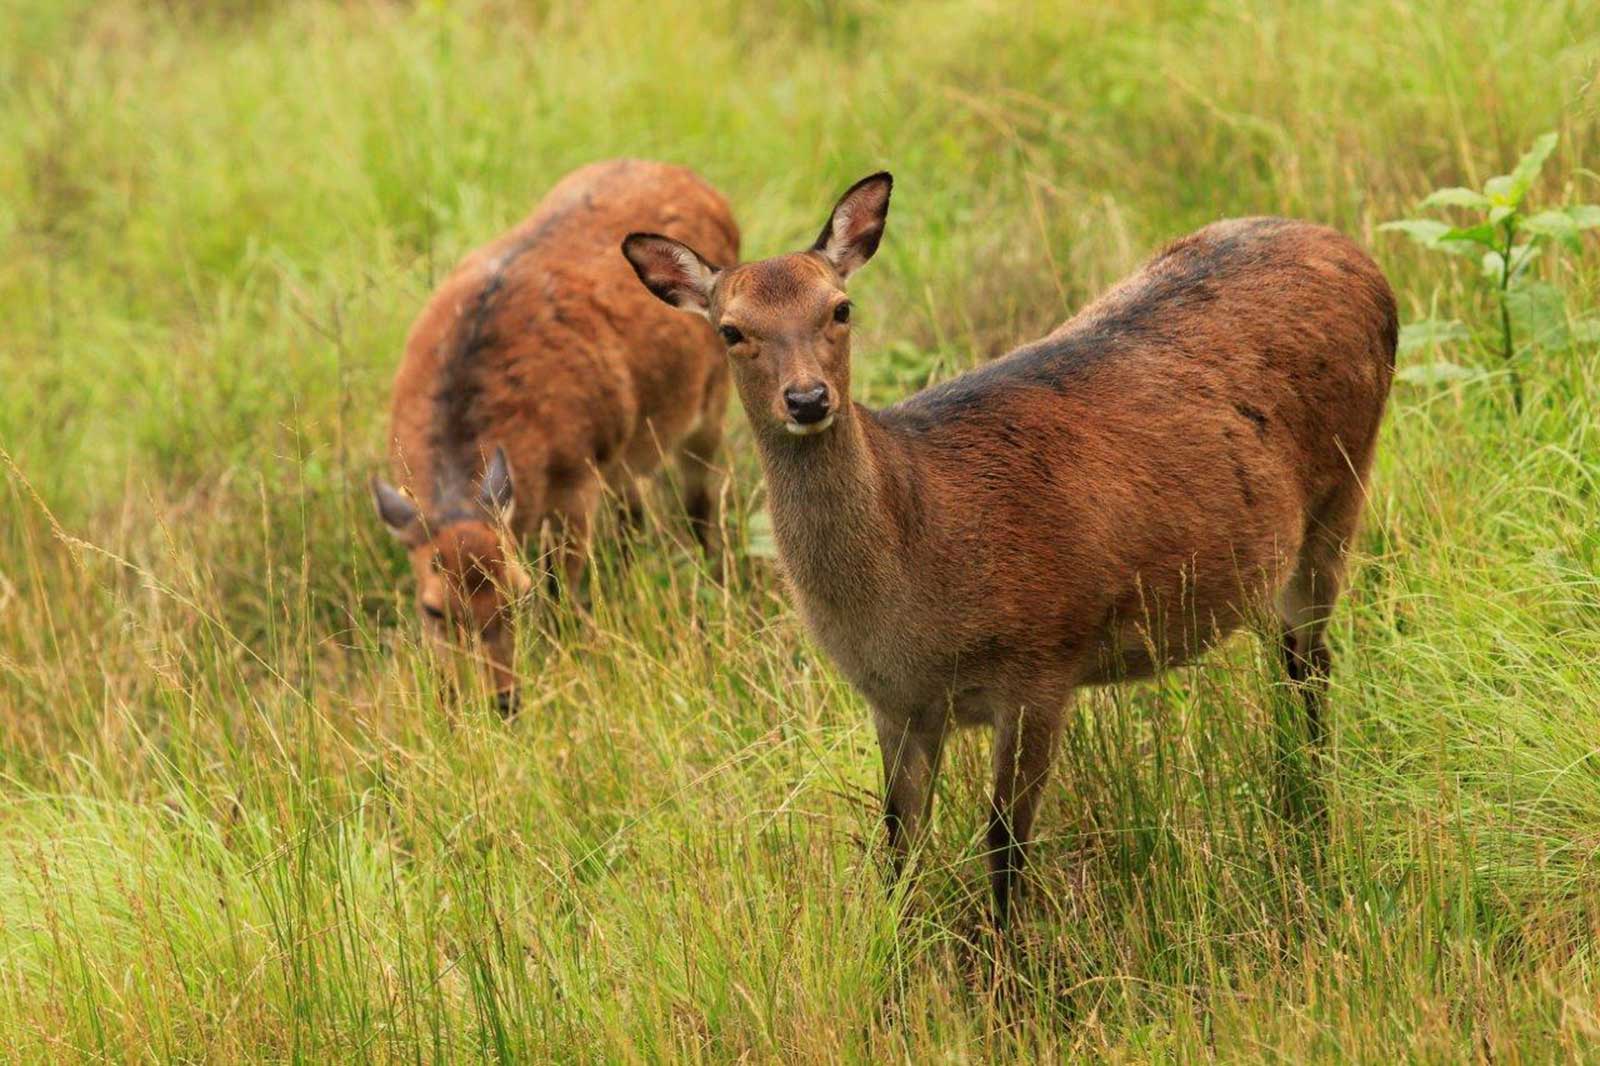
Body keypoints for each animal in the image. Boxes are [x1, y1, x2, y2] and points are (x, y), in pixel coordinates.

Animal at [376, 157, 742, 713]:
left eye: (518, 592)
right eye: (433, 609)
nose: (503, 701)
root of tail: (697, 182)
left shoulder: (576, 477)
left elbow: (563, 588)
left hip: (710, 401)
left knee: (699, 501)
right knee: (633, 511)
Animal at [617, 174, 1395, 921]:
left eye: (840, 308)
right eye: (730, 330)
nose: (807, 400)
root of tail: (1353, 251)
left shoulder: (1042, 665)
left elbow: (1005, 844)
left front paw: (1009, 958)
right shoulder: (894, 703)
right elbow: (897, 847)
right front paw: (901, 949)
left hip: (1342, 490)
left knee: (1313, 663)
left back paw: (1312, 810)